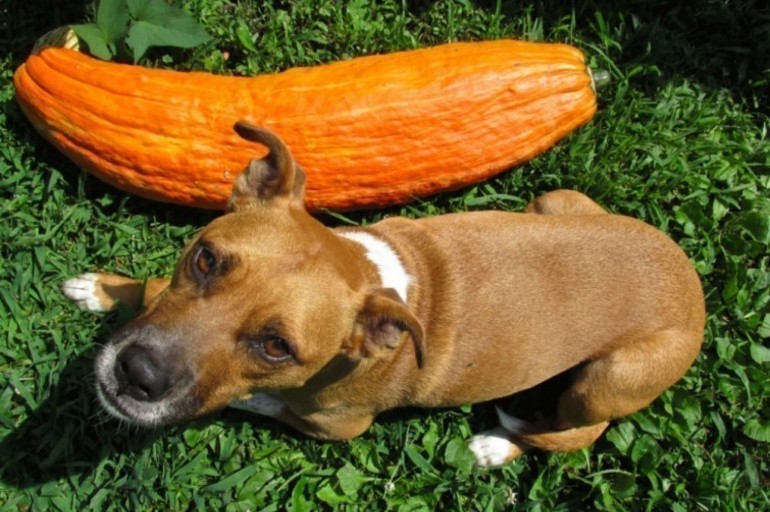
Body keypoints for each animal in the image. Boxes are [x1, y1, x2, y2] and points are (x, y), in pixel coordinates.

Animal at [64, 122, 704, 466]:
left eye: (277, 346)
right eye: (204, 258)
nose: (137, 373)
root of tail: (692, 283)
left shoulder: (336, 427)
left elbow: (252, 401)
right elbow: (152, 289)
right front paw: (103, 288)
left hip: (604, 383)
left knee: (577, 433)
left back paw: (497, 446)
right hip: (554, 202)